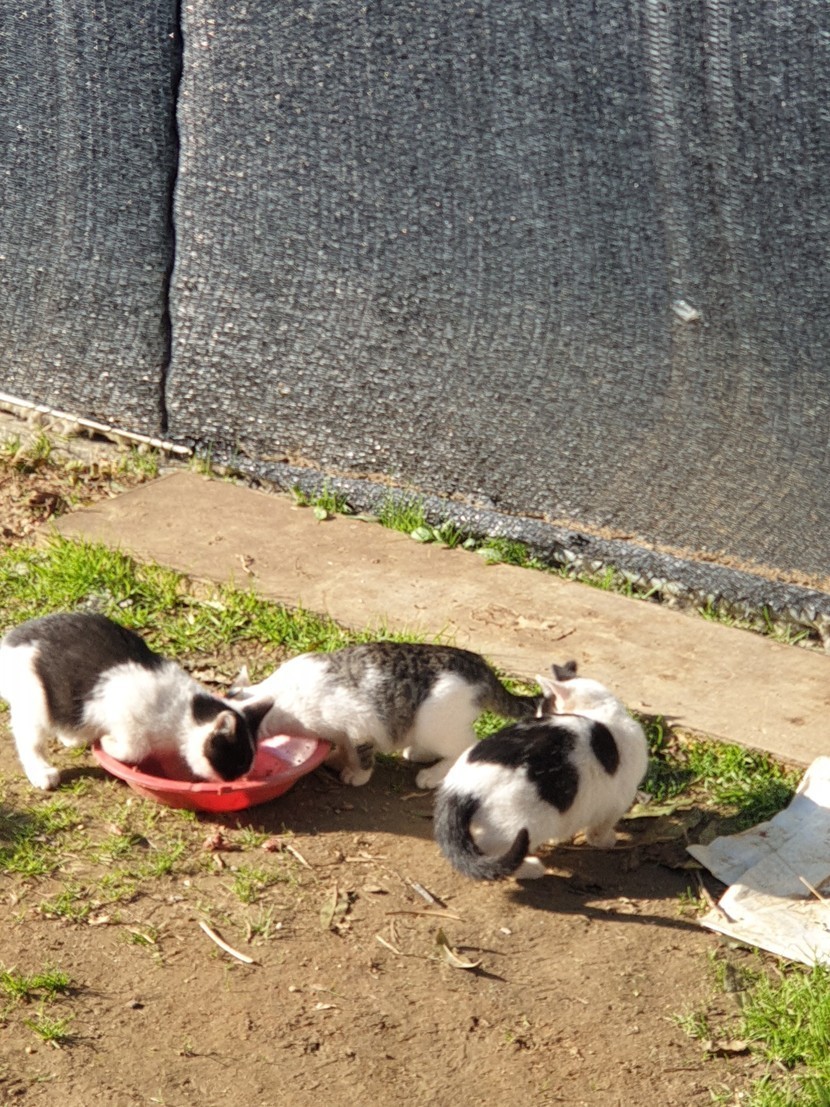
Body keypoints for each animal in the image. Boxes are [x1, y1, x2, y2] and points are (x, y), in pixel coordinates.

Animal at [0, 612, 273, 791]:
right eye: (238, 761)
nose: (238, 780)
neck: (184, 712)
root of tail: (11, 640)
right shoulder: (122, 711)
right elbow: (135, 748)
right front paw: (108, 742)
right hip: (35, 700)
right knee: (29, 738)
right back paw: (41, 771)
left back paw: (72, 736)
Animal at [227, 640, 546, 788]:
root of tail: (481, 666)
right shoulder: (342, 731)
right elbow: (343, 746)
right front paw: (337, 759)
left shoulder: (359, 726)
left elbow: (361, 754)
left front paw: (357, 774)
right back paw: (417, 753)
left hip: (433, 722)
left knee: (467, 746)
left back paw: (432, 775)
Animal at [433, 661, 648, 880]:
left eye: (542, 713)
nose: (537, 718)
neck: (602, 712)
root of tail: (458, 790)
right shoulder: (618, 801)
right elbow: (599, 830)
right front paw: (605, 840)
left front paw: (558, 839)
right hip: (525, 826)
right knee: (498, 855)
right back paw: (531, 868)